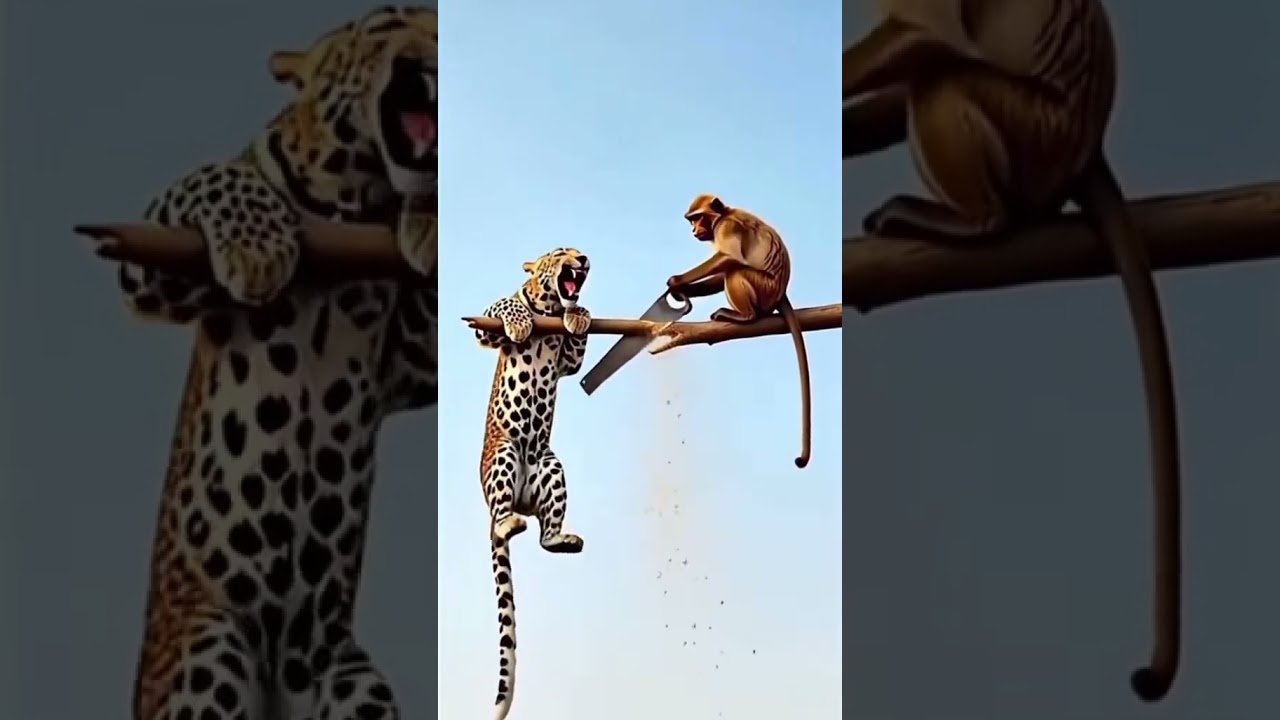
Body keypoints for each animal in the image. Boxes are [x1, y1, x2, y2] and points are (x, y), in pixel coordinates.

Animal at [117, 7, 437, 720]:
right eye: (387, 23)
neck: (356, 193)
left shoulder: (408, 357)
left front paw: (428, 220)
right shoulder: (159, 270)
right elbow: (221, 174)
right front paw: (260, 247)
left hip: (353, 682)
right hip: (207, 644)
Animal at [472, 247, 592, 720]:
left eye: (576, 251)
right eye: (559, 253)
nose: (583, 258)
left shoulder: (568, 363)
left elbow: (575, 350)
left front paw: (580, 313)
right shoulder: (487, 328)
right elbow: (507, 304)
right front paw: (522, 320)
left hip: (550, 465)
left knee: (544, 536)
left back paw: (563, 538)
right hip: (504, 454)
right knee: (501, 522)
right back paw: (508, 523)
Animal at [666, 194, 812, 469]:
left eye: (698, 218)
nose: (694, 230)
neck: (725, 214)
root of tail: (780, 292)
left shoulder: (727, 227)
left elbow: (729, 258)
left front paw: (678, 281)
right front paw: (685, 290)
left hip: (763, 288)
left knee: (735, 271)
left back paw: (745, 316)